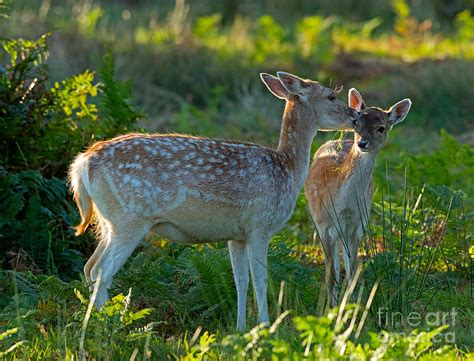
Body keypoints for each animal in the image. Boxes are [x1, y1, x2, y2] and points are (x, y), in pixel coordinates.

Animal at [68, 71, 358, 330]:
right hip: (130, 218)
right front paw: (265, 326)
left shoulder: (236, 234)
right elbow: (260, 279)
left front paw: (240, 327)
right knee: (101, 270)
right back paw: (109, 325)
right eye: (331, 96)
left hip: (108, 221)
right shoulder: (260, 225)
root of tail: (82, 164)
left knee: (89, 266)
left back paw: (98, 321)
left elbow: (240, 280)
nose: (355, 115)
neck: (286, 168)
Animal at [306, 88, 410, 306]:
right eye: (356, 123)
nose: (362, 142)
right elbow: (331, 274)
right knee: (335, 268)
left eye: (381, 128)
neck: (342, 204)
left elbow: (354, 271)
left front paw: (353, 306)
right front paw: (329, 309)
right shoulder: (324, 225)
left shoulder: (357, 227)